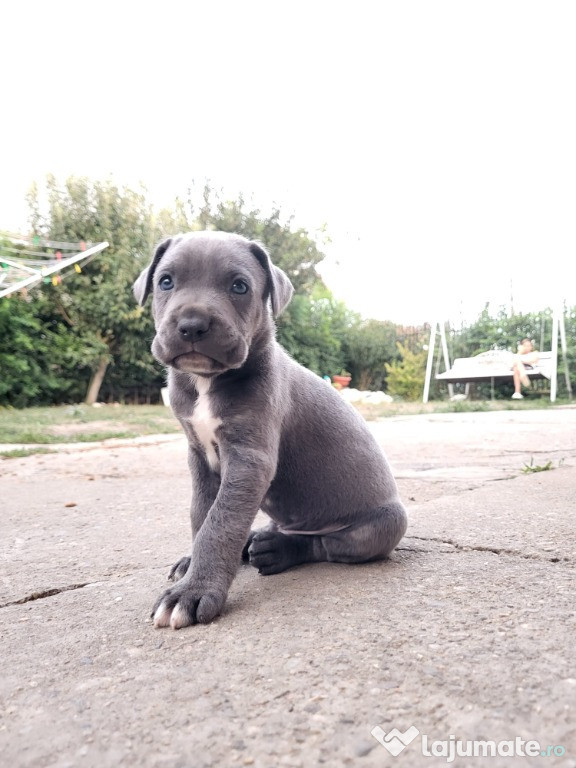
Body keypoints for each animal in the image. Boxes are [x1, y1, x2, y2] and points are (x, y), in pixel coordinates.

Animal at [133, 231, 408, 628]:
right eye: (166, 282)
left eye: (239, 286)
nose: (192, 324)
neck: (207, 383)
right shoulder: (200, 457)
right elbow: (202, 514)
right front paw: (191, 567)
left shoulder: (249, 460)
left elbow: (220, 523)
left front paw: (193, 591)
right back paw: (257, 543)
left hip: (384, 524)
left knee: (324, 545)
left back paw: (277, 549)